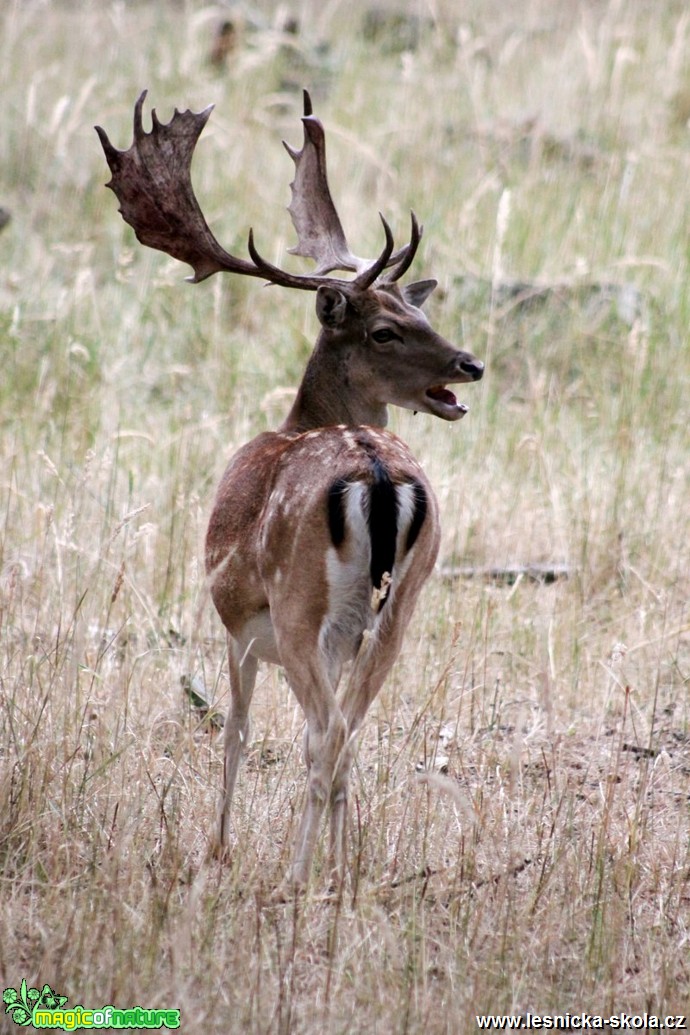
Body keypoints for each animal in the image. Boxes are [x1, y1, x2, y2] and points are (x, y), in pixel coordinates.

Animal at [95, 86, 486, 890]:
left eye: (416, 312)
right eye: (388, 328)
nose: (470, 365)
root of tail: (376, 474)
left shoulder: (237, 626)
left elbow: (237, 733)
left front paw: (217, 848)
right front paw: (336, 860)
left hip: (300, 606)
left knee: (325, 732)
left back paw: (297, 877)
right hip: (399, 608)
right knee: (353, 730)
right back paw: (341, 874)